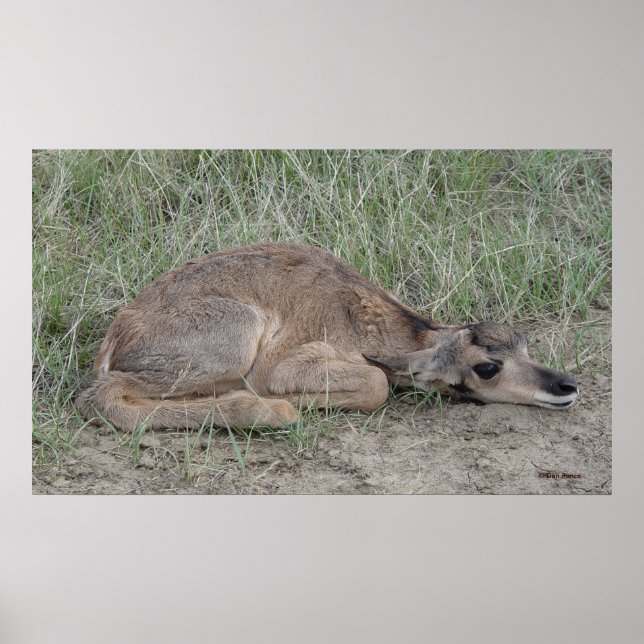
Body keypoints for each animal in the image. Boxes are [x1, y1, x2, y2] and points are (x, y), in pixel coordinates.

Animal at [77, 243, 579, 431]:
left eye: (524, 342)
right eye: (487, 367)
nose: (567, 386)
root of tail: (118, 332)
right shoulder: (285, 365)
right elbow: (377, 384)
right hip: (235, 337)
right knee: (101, 395)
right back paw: (271, 410)